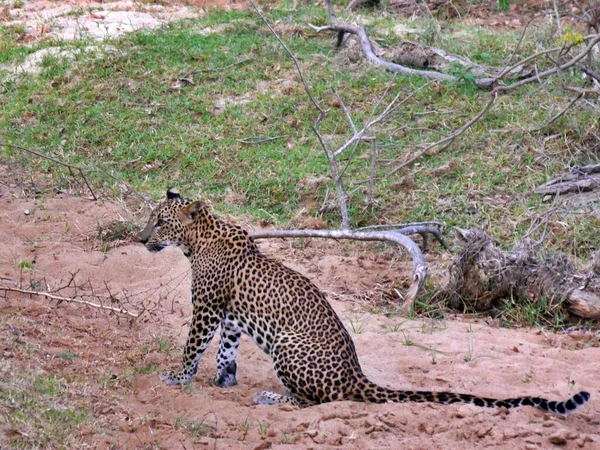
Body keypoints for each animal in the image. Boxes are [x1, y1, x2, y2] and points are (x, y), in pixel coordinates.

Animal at [139, 187, 592, 414]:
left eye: (159, 222)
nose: (141, 239)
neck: (198, 239)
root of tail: (356, 374)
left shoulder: (206, 309)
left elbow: (193, 347)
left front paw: (178, 377)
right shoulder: (230, 315)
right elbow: (226, 350)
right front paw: (224, 379)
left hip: (287, 345)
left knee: (314, 401)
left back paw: (272, 397)